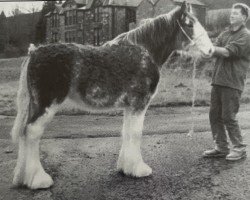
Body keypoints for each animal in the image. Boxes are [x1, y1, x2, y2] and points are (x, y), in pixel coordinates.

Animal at [9, 1, 213, 189]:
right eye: (189, 24)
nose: (210, 50)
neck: (144, 52)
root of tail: (34, 52)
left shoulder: (130, 106)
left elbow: (127, 132)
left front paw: (125, 168)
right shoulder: (139, 104)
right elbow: (136, 134)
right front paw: (140, 170)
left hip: (35, 105)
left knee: (24, 133)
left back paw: (22, 177)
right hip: (46, 104)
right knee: (32, 133)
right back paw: (39, 180)